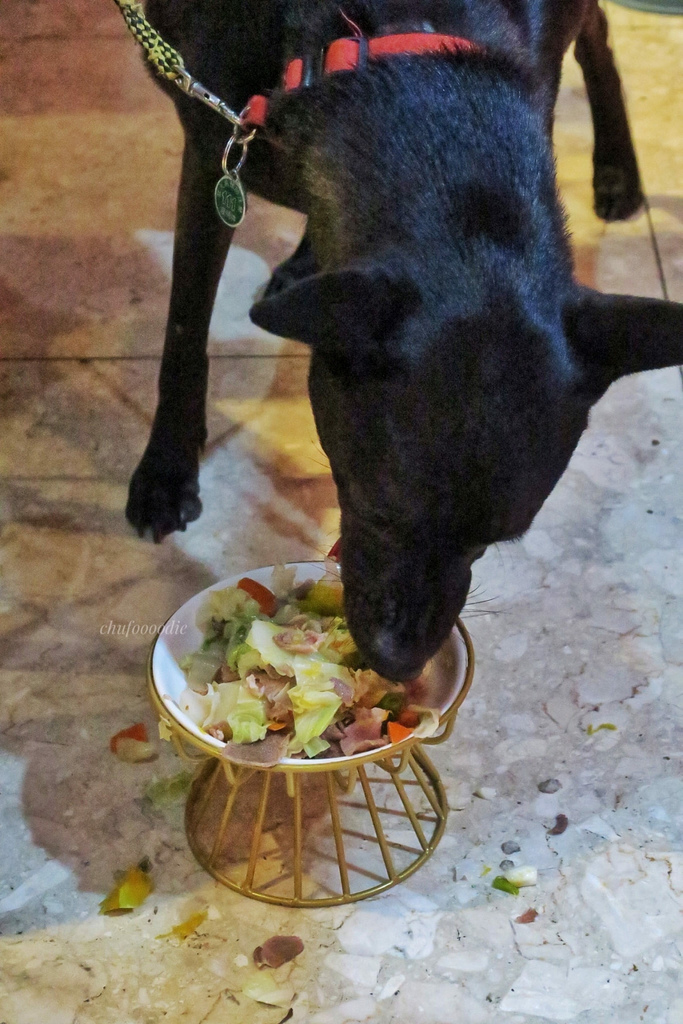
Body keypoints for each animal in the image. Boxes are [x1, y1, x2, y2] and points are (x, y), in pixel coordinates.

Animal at [129, 6, 683, 679]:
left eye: (492, 541)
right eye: (378, 508)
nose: (399, 666)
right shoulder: (217, 152)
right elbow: (185, 327)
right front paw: (165, 472)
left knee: (598, 34)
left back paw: (619, 170)